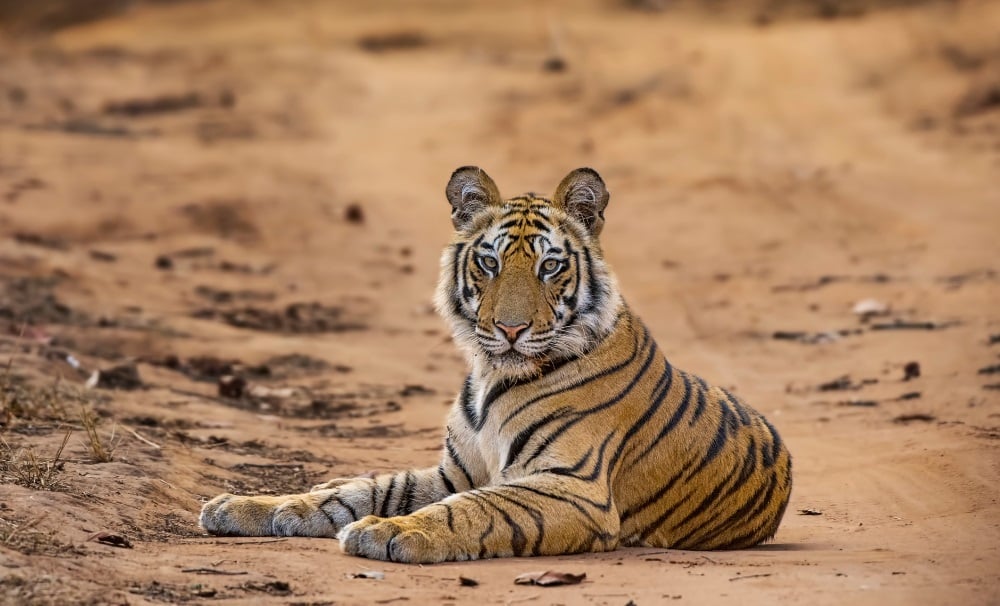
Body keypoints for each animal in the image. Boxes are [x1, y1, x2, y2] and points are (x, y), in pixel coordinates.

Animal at [199, 167, 793, 563]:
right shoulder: (453, 471)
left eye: (550, 266)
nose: (510, 330)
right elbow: (362, 491)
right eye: (489, 262)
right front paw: (247, 507)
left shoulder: (572, 486)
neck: (492, 377)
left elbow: (475, 508)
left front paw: (392, 533)